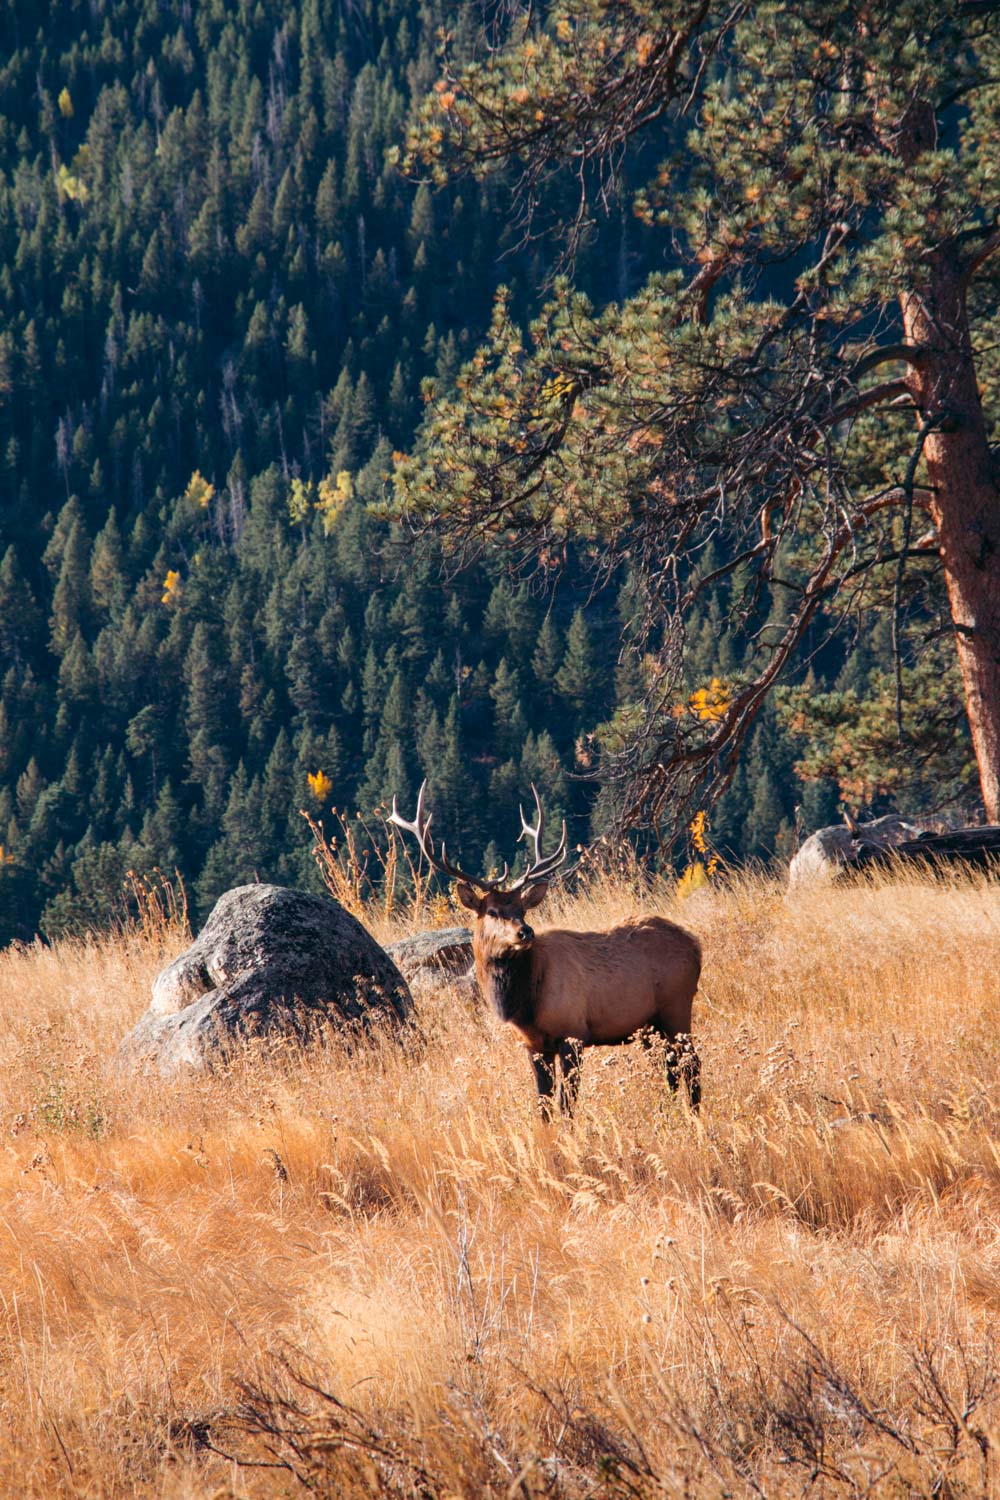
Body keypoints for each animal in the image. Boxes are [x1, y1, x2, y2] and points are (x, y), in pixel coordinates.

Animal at [386, 786, 701, 1116]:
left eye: (522, 909)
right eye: (493, 911)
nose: (525, 932)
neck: (523, 1003)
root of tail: (695, 945)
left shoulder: (573, 1033)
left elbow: (566, 1103)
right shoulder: (533, 1045)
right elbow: (544, 1104)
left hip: (676, 1005)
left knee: (691, 1063)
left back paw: (694, 1115)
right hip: (649, 1024)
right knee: (671, 1067)